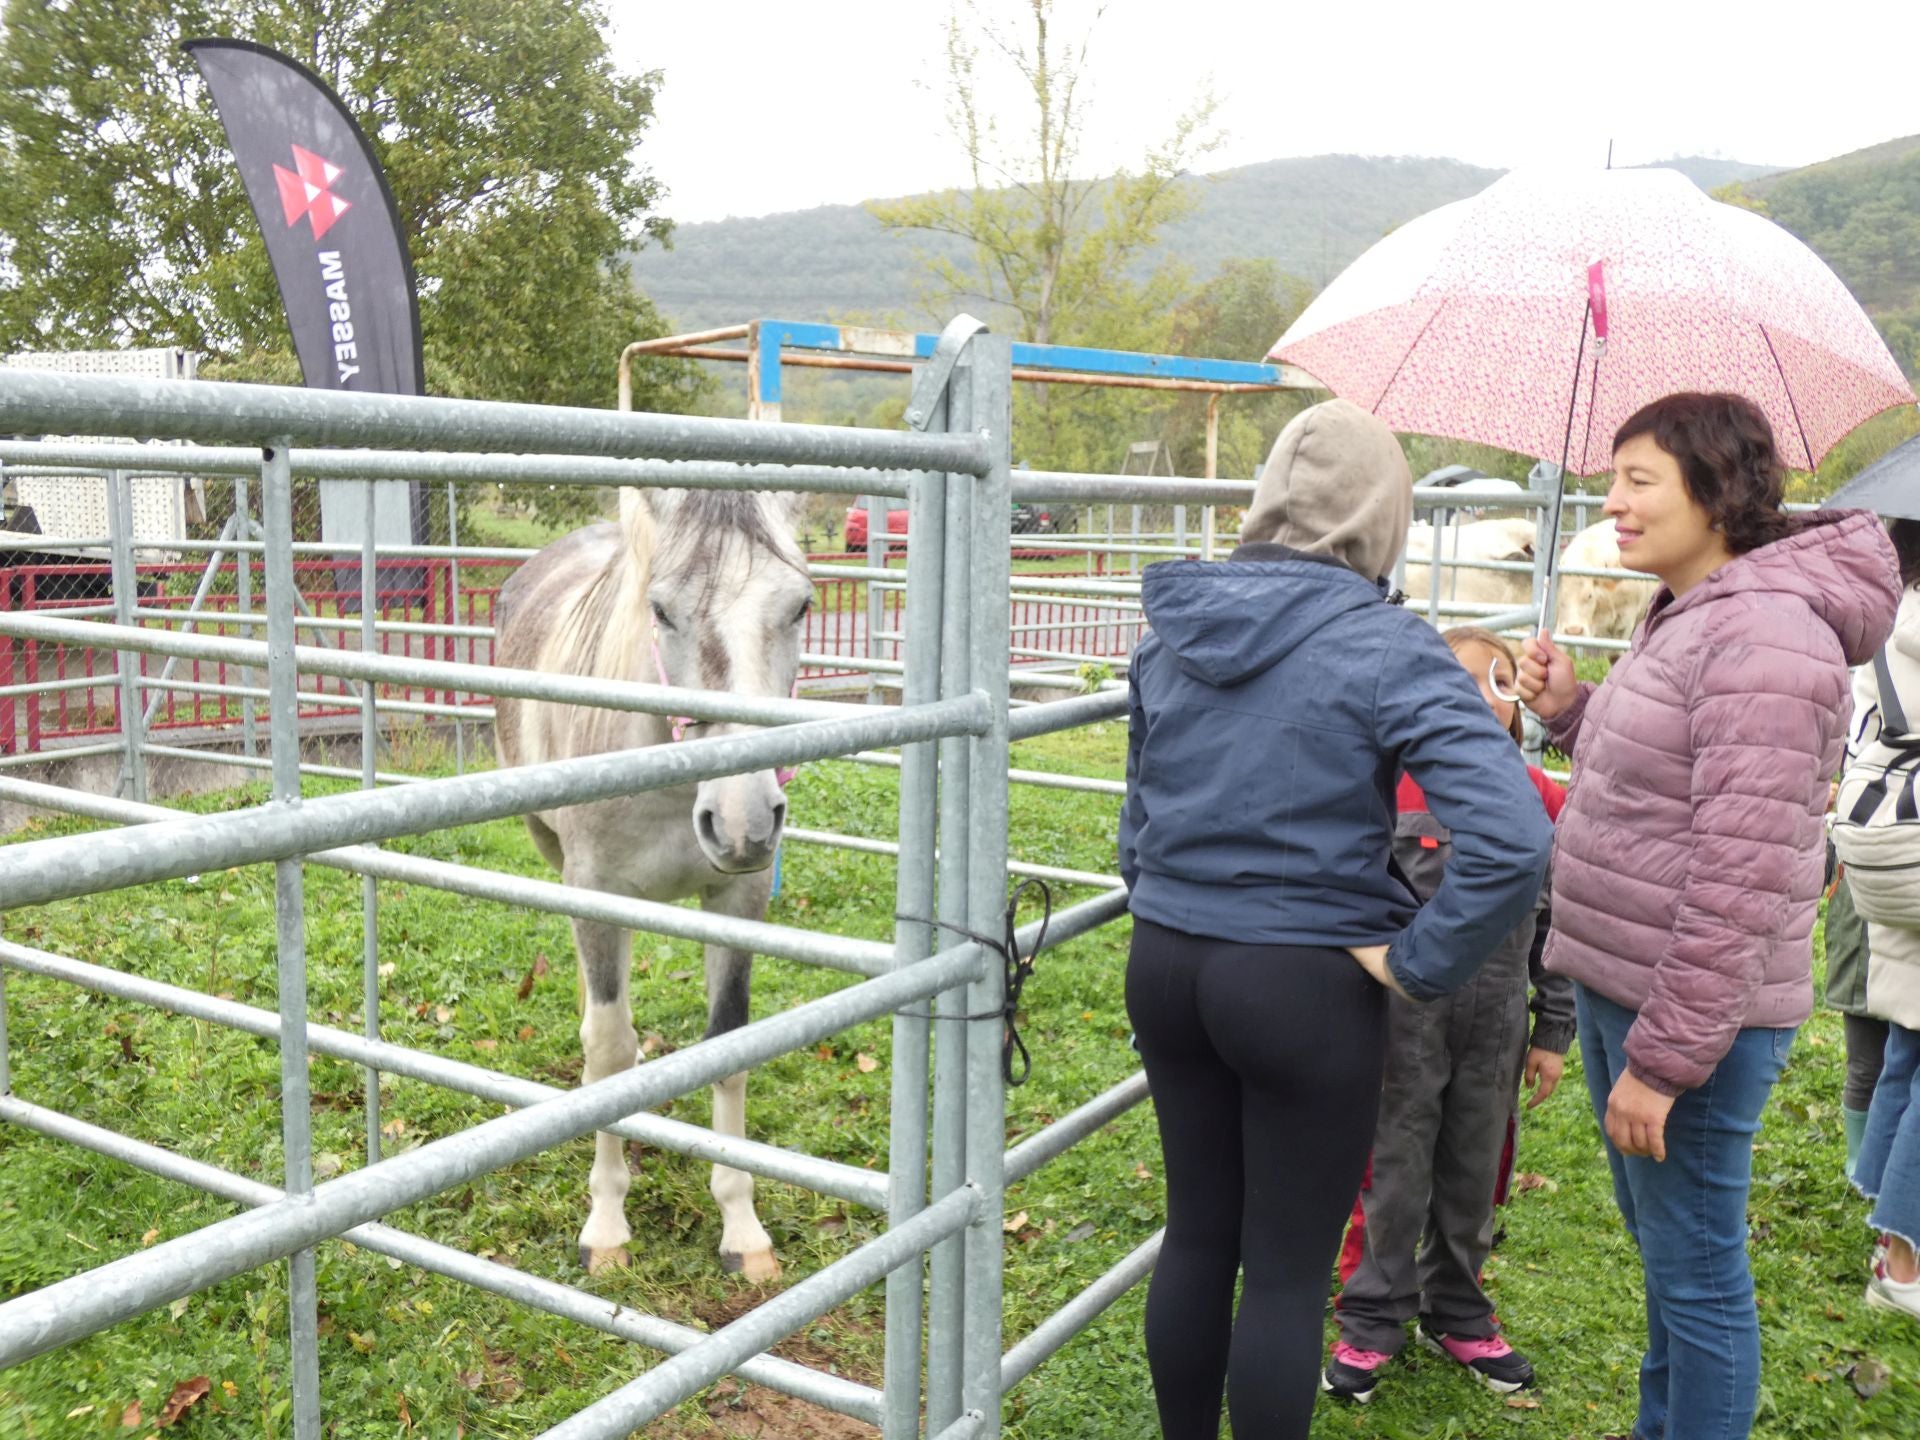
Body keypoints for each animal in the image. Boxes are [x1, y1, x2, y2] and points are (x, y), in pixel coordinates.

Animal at [491, 491, 814, 1282]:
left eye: (800, 606)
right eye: (661, 610)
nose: (743, 823)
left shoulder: (738, 901)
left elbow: (727, 1042)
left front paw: (743, 1232)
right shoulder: (595, 891)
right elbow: (609, 1052)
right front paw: (606, 1227)